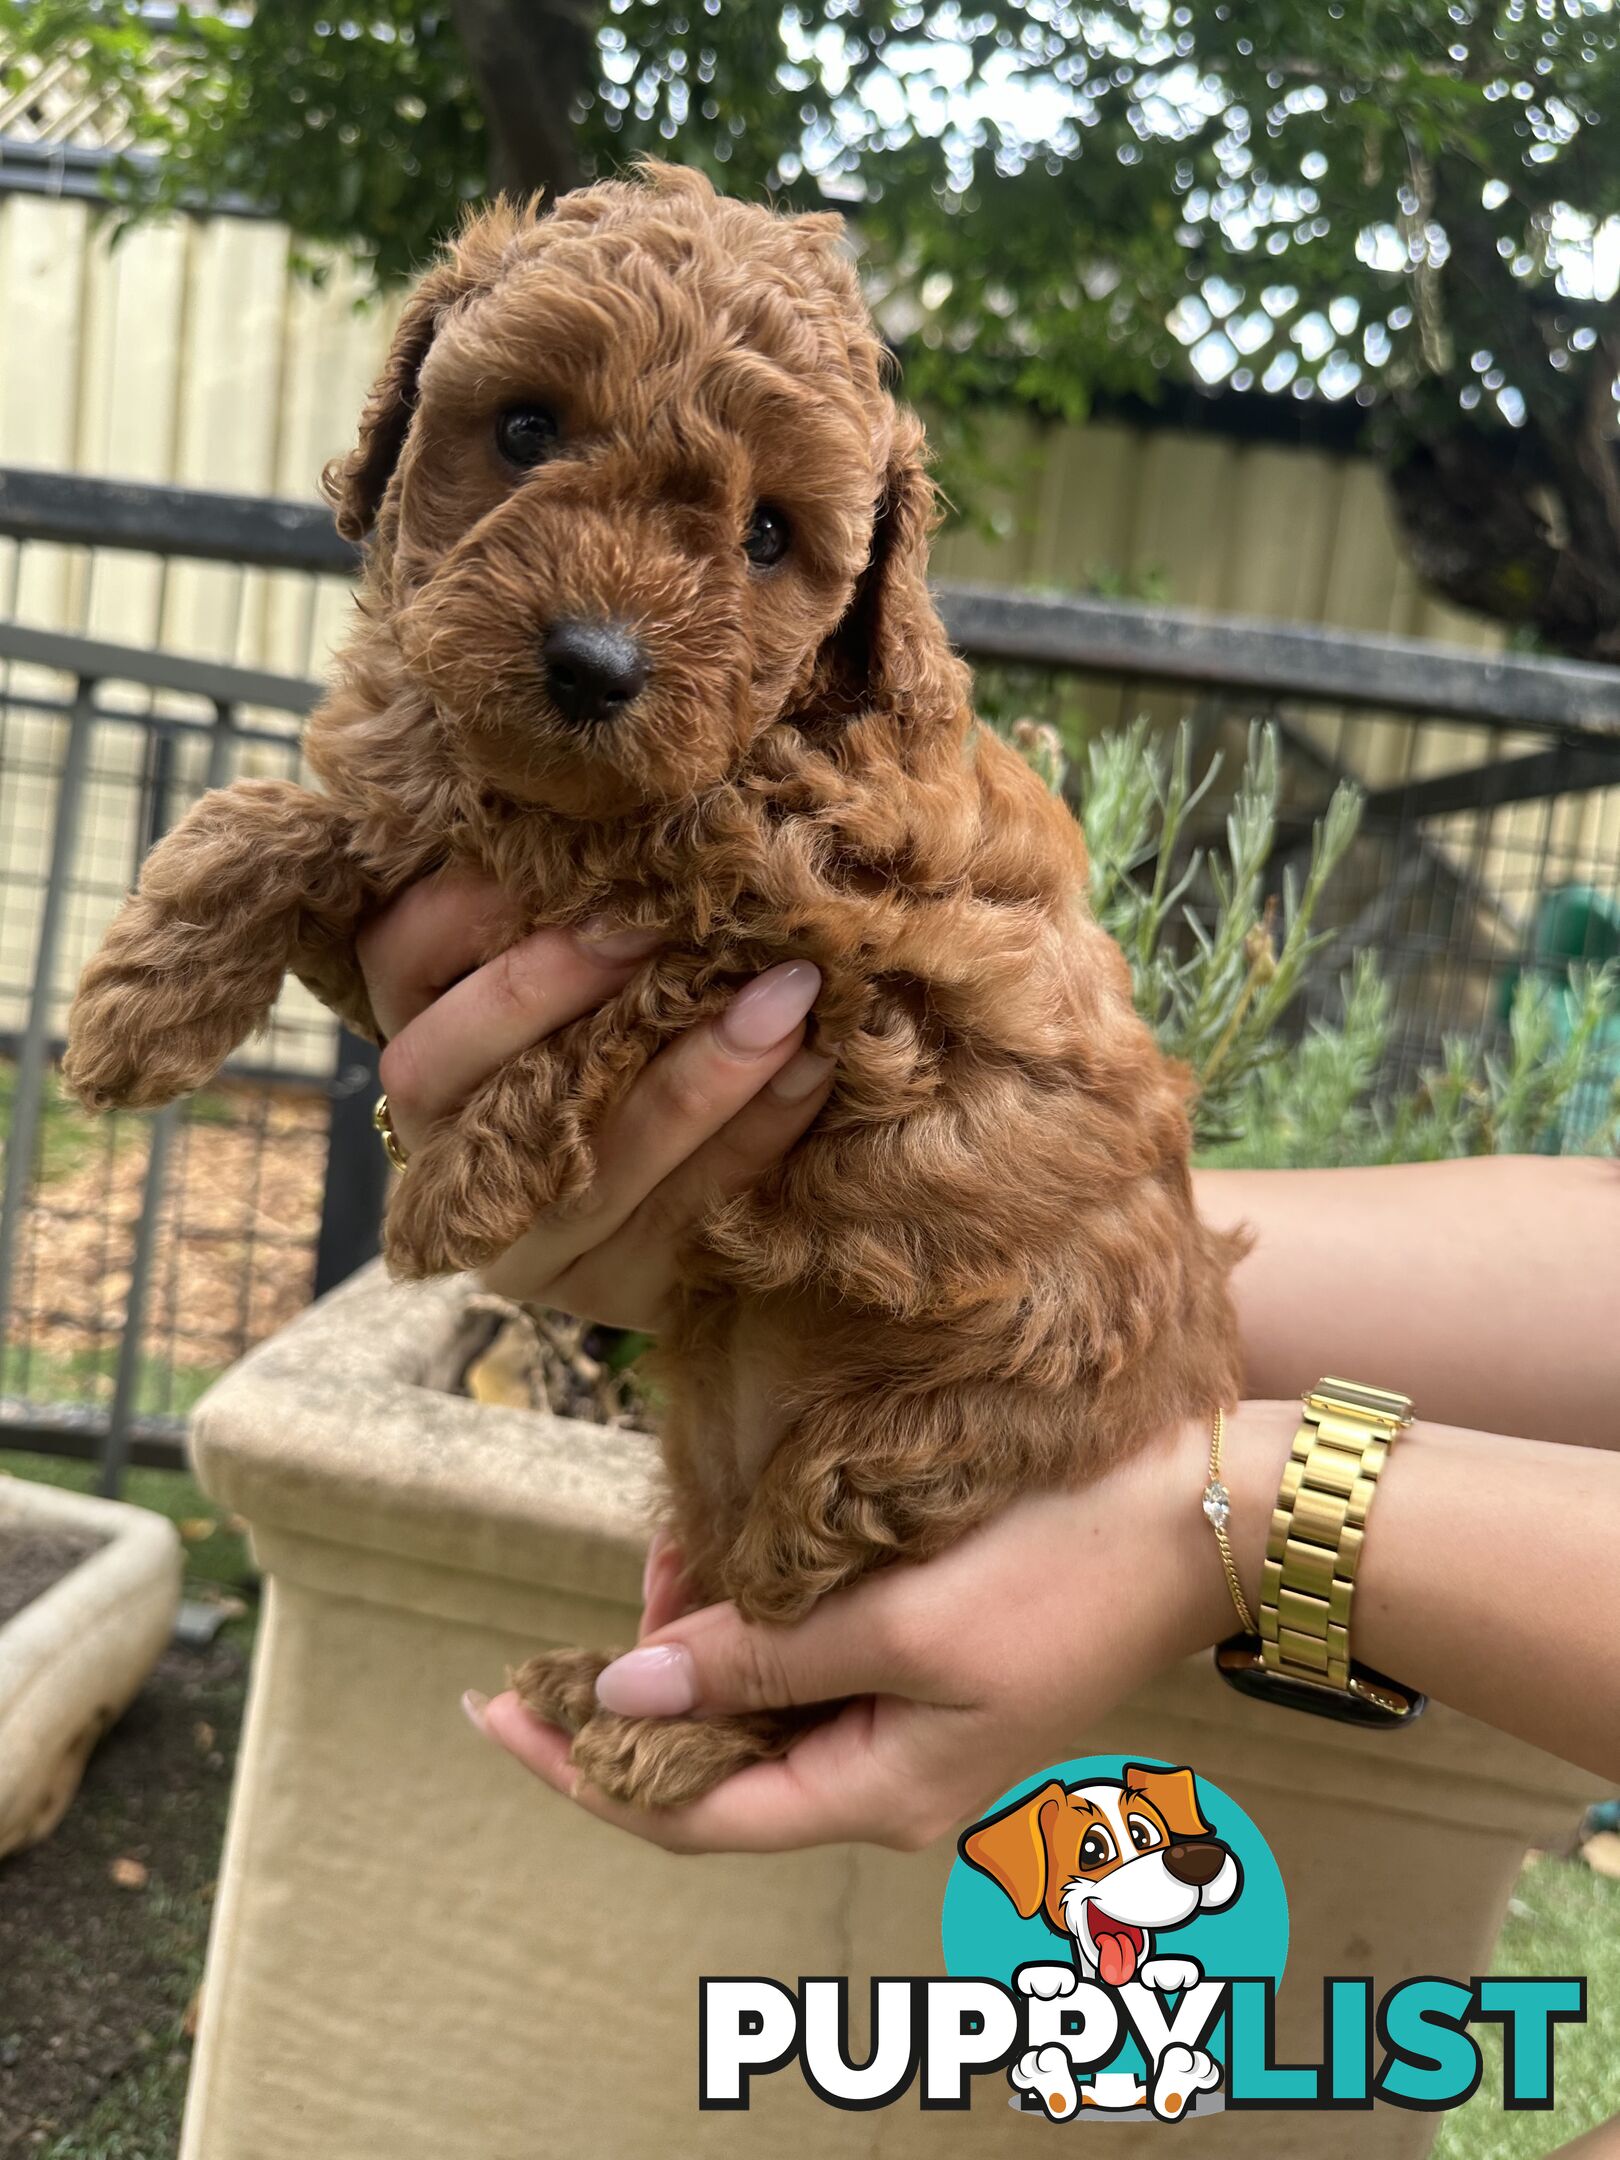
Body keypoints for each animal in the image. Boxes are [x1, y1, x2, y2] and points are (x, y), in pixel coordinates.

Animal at [66, 164, 1244, 1805]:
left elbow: (637, 979)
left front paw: (460, 1189)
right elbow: (286, 817)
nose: (595, 664)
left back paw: (663, 1725)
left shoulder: (834, 956)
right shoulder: (413, 881)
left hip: (904, 1463)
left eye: (767, 535)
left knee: (798, 1625)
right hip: (714, 1450)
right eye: (524, 429)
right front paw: (139, 996)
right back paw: (589, 1684)